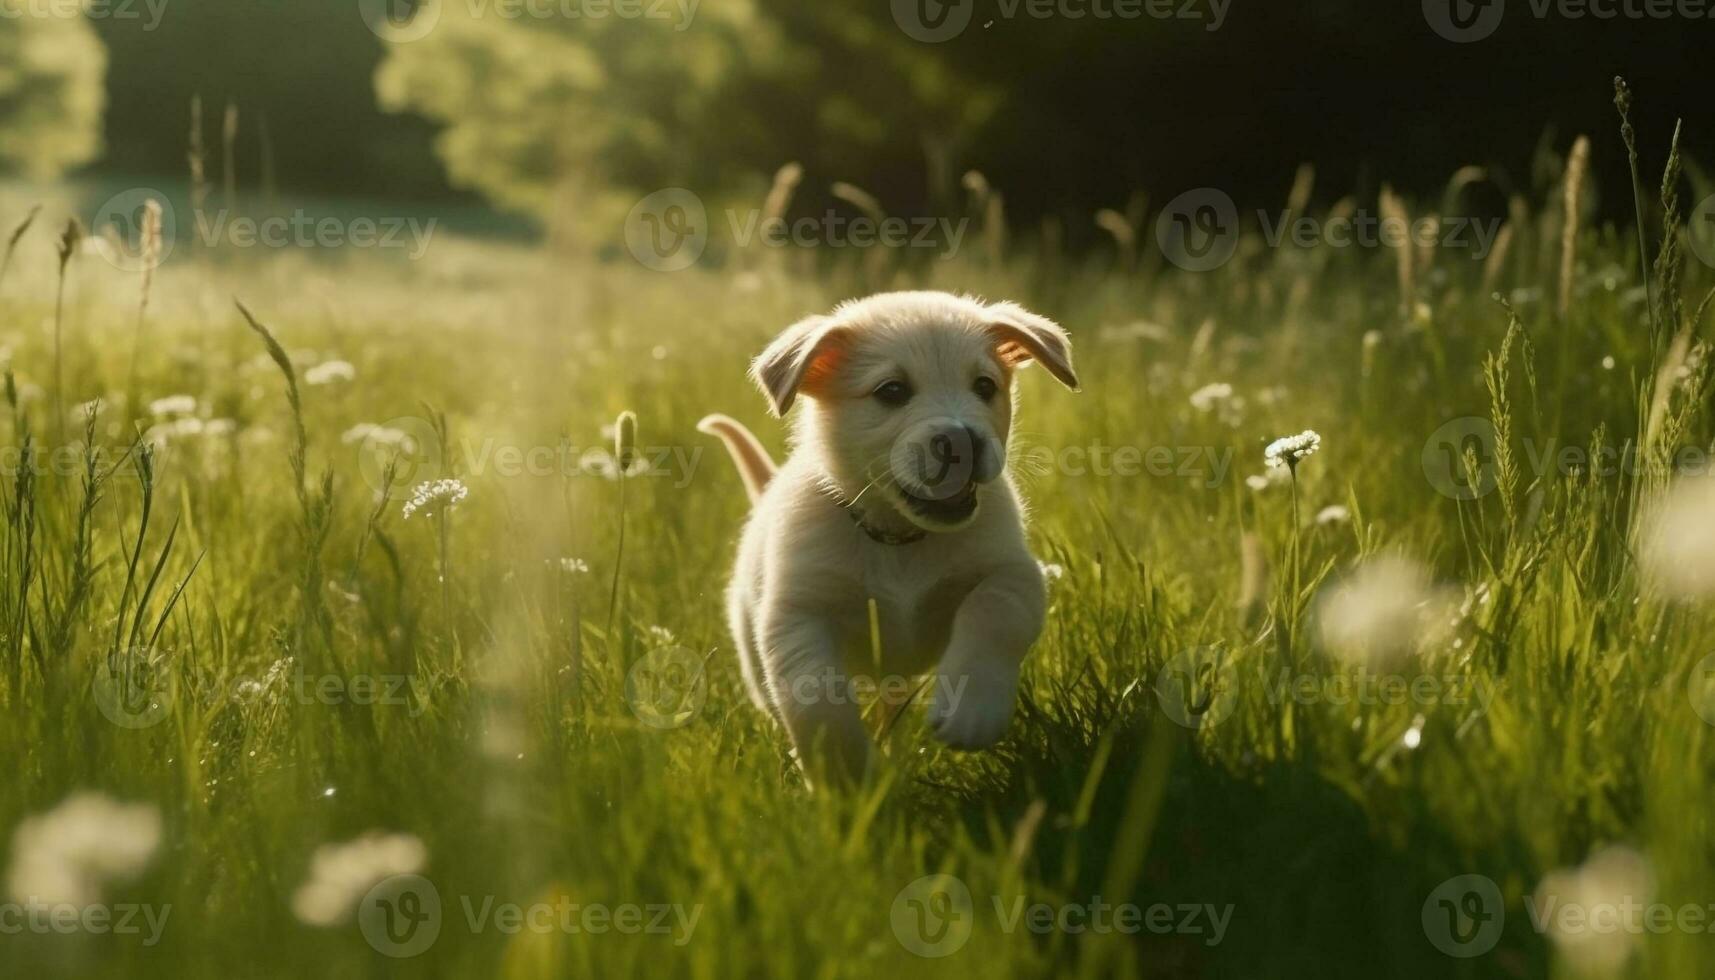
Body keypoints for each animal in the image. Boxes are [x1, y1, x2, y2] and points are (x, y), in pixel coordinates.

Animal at [692, 288, 1070, 786]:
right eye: (892, 391)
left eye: (985, 387)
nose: (964, 443)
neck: (900, 539)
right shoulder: (799, 615)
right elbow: (817, 701)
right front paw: (846, 776)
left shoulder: (1013, 572)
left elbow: (995, 617)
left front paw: (974, 709)